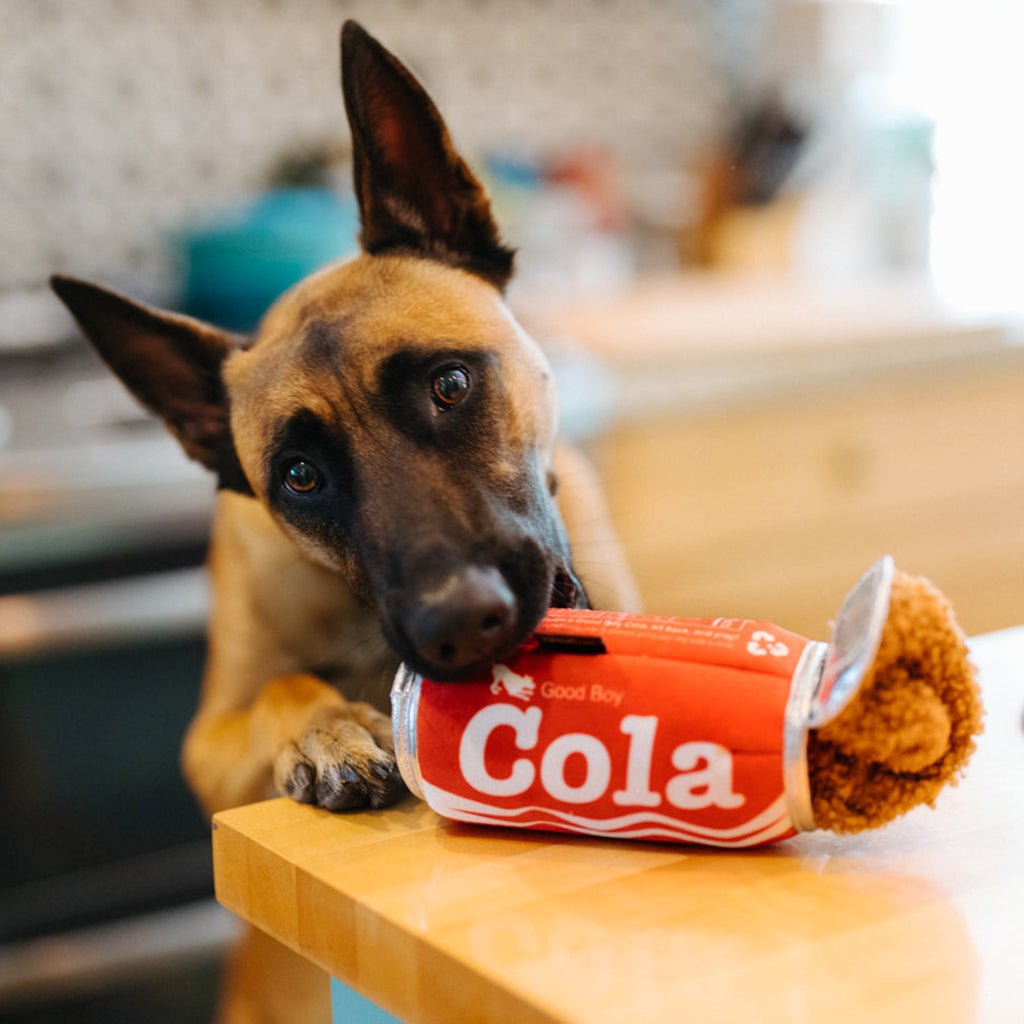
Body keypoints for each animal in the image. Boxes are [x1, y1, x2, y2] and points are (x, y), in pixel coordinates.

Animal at [54, 24, 638, 1024]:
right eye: (300, 477)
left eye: (451, 384)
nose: (459, 624)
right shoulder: (205, 749)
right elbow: (279, 690)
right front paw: (329, 728)